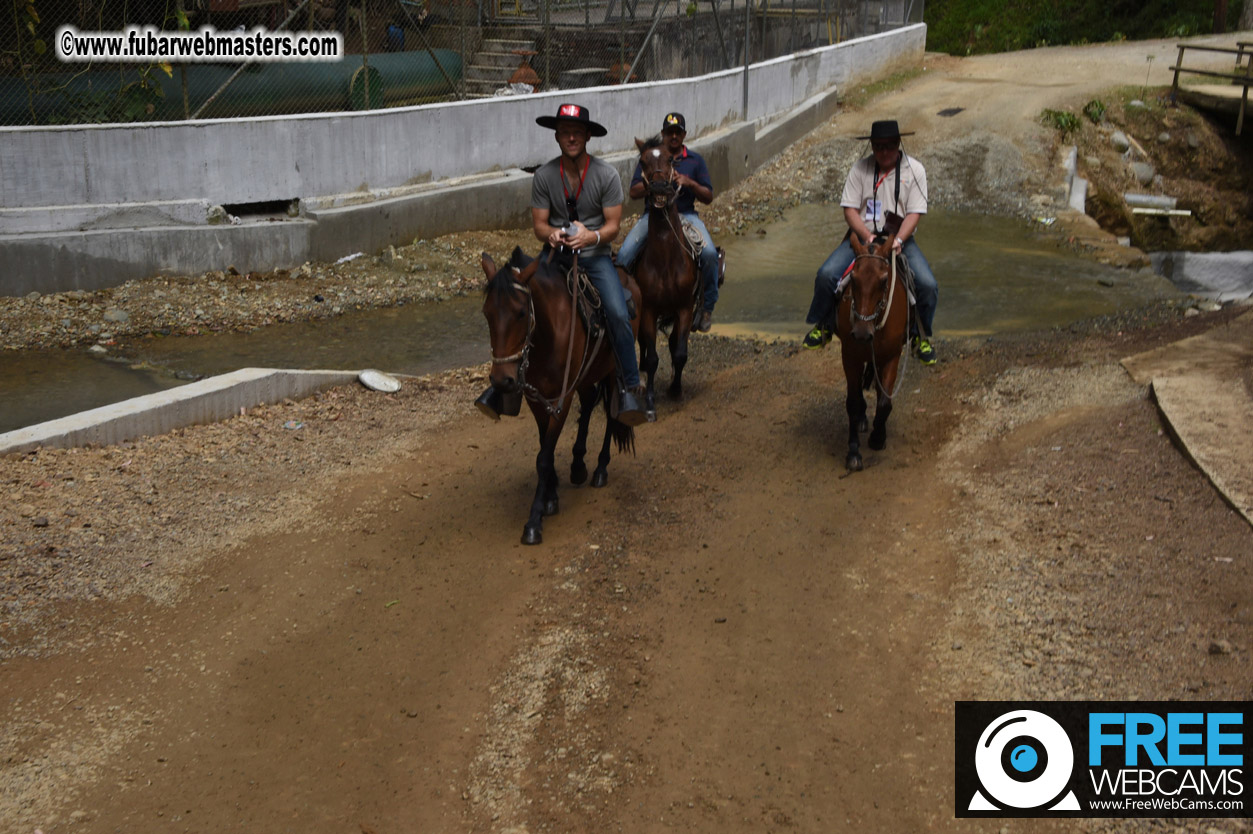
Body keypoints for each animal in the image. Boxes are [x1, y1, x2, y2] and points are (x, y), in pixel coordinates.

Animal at [481, 245, 646, 545]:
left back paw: (600, 469)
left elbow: (544, 457)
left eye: (521, 313)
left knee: (612, 414)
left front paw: (534, 520)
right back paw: (578, 464)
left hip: (611, 368)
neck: (547, 333)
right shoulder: (536, 398)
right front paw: (551, 495)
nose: (502, 380)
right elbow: (542, 446)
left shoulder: (561, 398)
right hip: (586, 372)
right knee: (590, 400)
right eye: (487, 313)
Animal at [831, 235, 912, 468]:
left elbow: (884, 401)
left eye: (884, 281)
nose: (861, 334)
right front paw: (853, 453)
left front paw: (878, 437)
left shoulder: (892, 355)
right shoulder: (849, 355)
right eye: (854, 279)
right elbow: (852, 402)